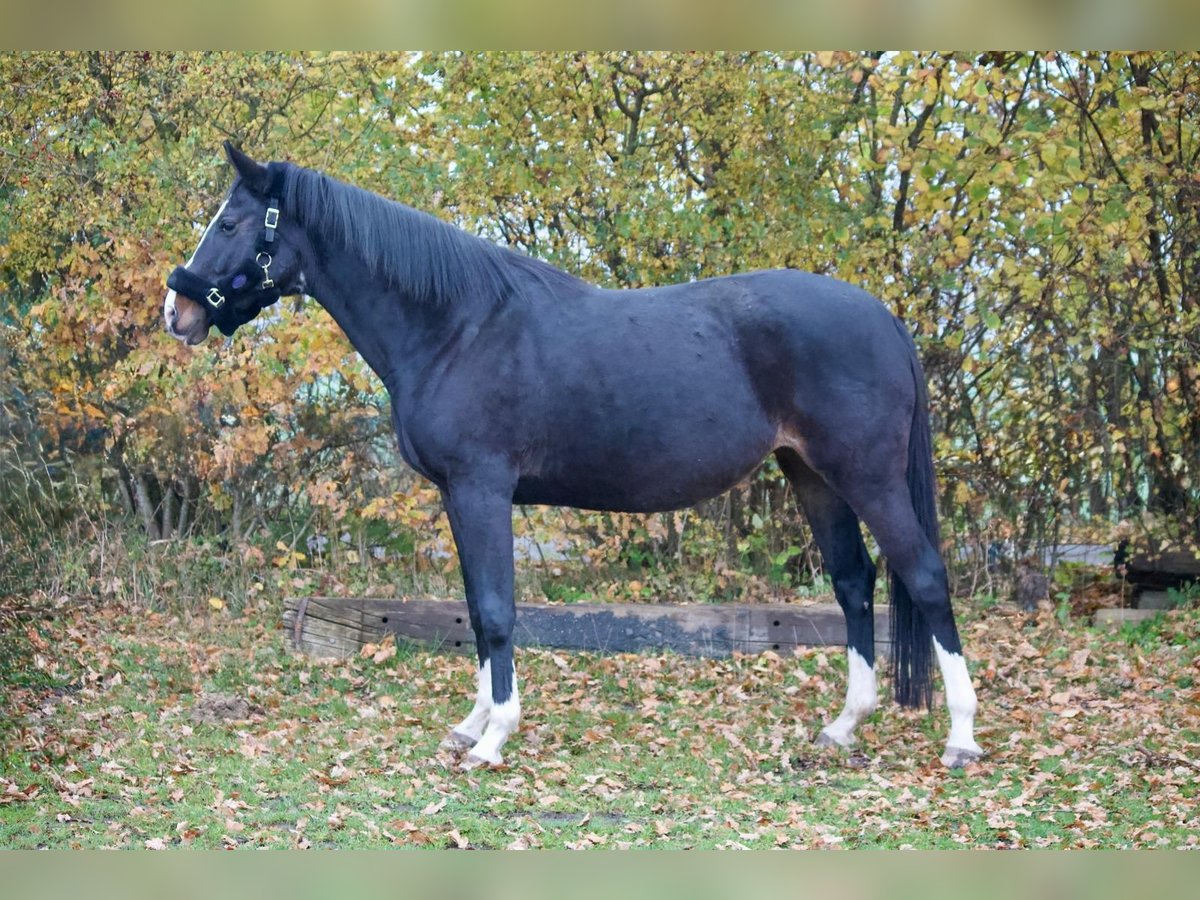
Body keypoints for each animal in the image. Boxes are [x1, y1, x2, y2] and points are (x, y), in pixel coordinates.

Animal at [164, 142, 982, 770]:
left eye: (230, 221)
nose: (178, 310)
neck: (456, 327)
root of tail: (883, 317)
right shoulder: (458, 497)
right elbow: (475, 609)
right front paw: (471, 723)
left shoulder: (482, 489)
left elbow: (497, 612)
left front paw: (493, 739)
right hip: (811, 475)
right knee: (854, 583)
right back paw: (843, 727)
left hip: (867, 476)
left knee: (925, 578)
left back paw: (962, 739)